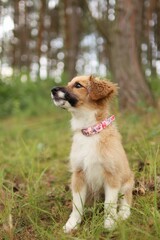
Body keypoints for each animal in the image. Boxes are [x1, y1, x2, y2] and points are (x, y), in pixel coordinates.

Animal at [51, 75, 134, 232]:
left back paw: (123, 214)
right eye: (69, 83)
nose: (53, 90)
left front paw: (109, 223)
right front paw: (72, 224)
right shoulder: (78, 174)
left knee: (126, 199)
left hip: (127, 181)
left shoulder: (112, 175)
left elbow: (109, 204)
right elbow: (77, 205)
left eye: (78, 85)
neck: (90, 131)